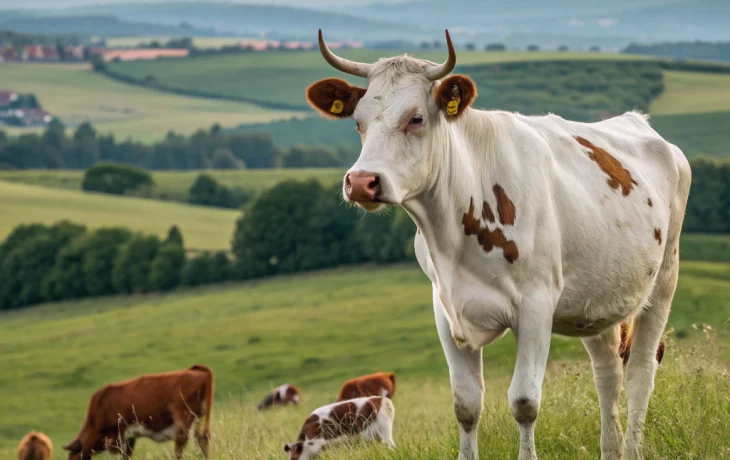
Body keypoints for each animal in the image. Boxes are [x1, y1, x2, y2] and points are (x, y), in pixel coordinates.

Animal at [63, 364, 214, 459]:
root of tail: (197, 370)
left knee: (181, 445)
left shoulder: (117, 435)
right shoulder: (129, 438)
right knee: (202, 440)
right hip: (200, 418)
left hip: (183, 418)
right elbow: (126, 456)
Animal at [306, 29, 690, 460]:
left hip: (663, 280)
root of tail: (639, 123)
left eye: (416, 118)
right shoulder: (445, 308)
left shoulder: (537, 305)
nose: (361, 182)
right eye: (358, 123)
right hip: (598, 300)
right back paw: (612, 448)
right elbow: (466, 405)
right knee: (607, 373)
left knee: (641, 370)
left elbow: (525, 402)